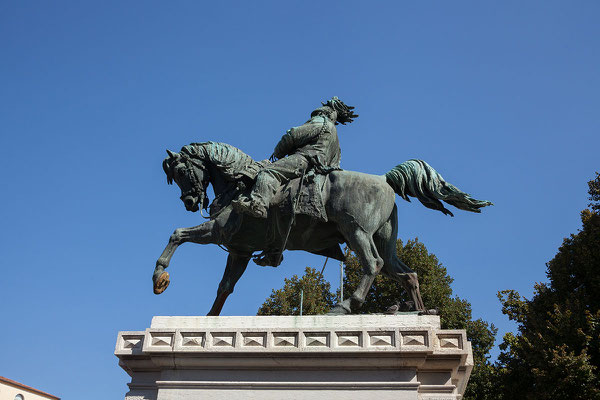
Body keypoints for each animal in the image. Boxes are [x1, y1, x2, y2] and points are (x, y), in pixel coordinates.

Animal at [155, 141, 492, 316]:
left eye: (182, 172)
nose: (190, 201)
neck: (239, 184)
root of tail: (384, 179)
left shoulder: (219, 232)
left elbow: (177, 234)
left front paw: (160, 277)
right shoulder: (239, 250)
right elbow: (224, 286)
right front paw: (210, 319)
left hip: (356, 232)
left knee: (372, 264)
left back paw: (346, 306)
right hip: (384, 241)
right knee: (407, 274)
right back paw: (418, 312)